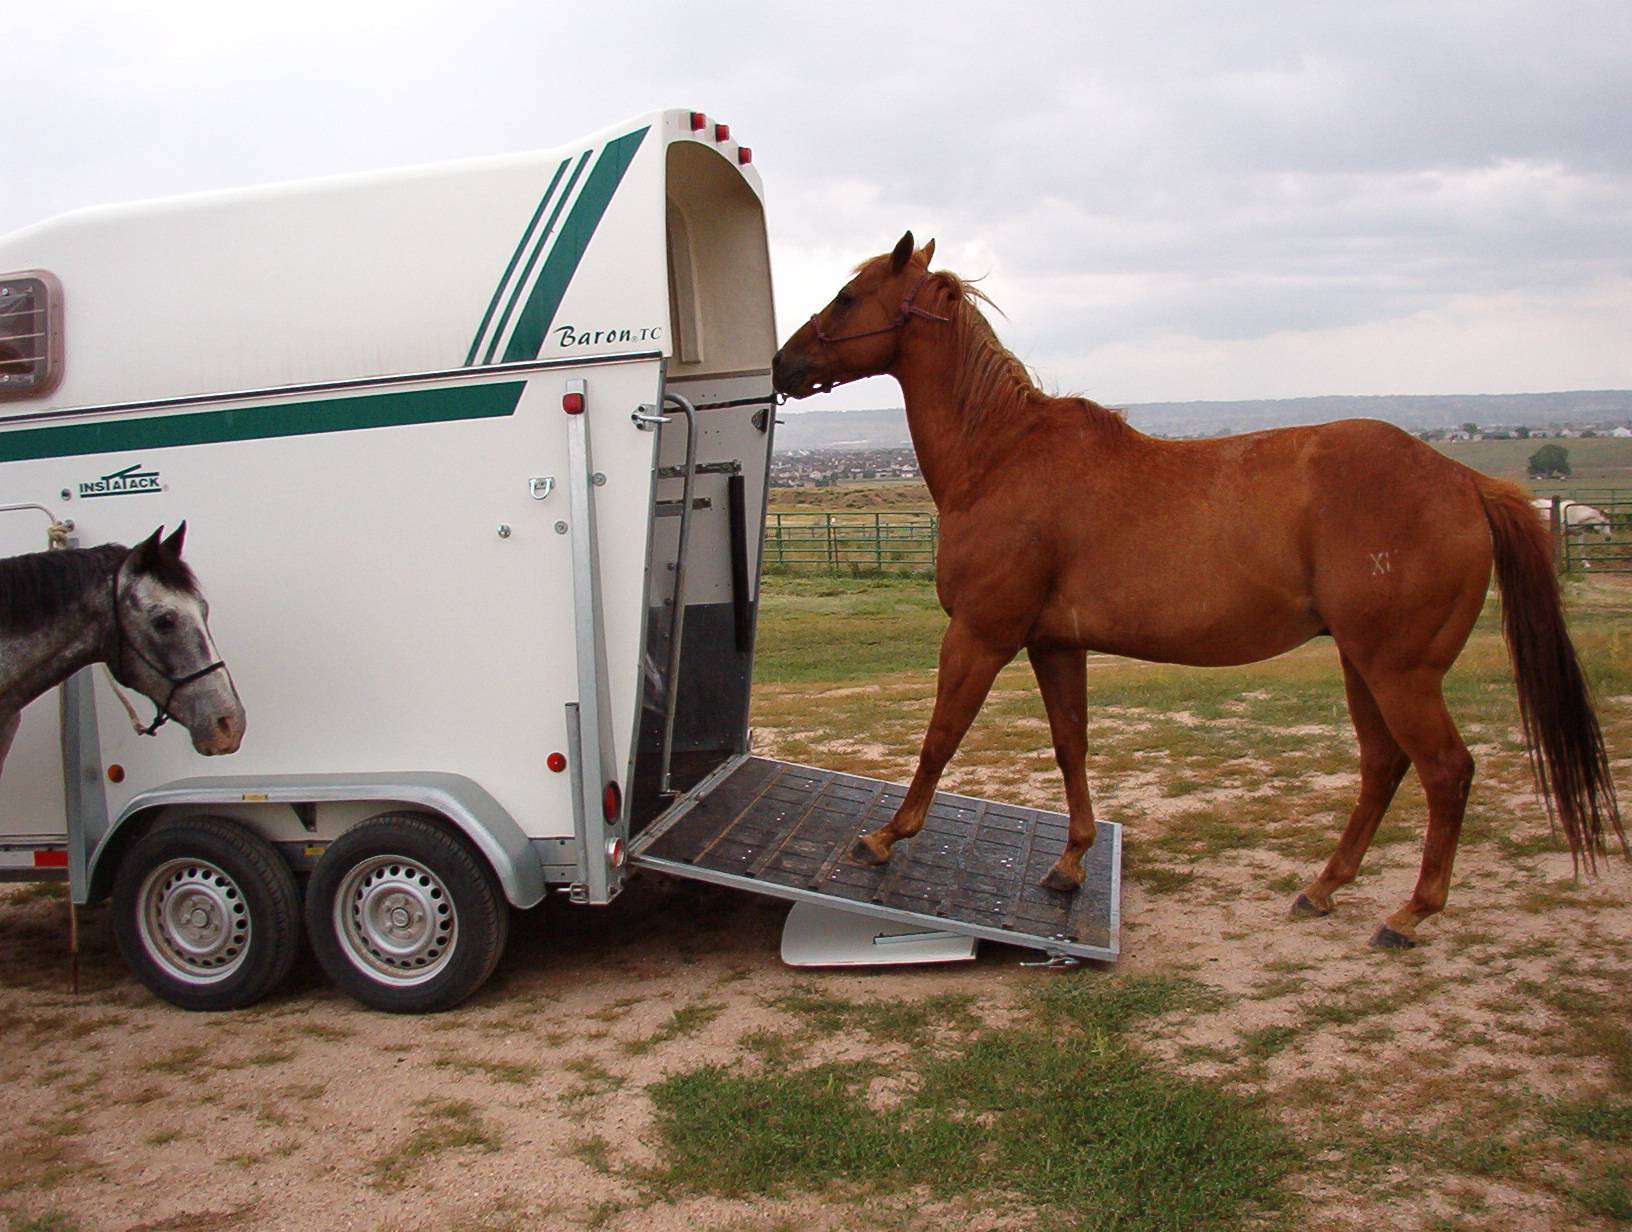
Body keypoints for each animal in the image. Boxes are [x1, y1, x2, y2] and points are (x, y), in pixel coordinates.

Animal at [770, 231, 1624, 948]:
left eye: (847, 297)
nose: (781, 366)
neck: (1002, 456)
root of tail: (1464, 480)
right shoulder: (1054, 644)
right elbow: (1071, 746)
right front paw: (1070, 863)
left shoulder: (982, 633)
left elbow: (940, 737)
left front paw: (884, 836)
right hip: (1363, 665)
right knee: (1383, 766)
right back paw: (1322, 888)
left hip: (1400, 672)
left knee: (1445, 771)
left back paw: (1409, 913)